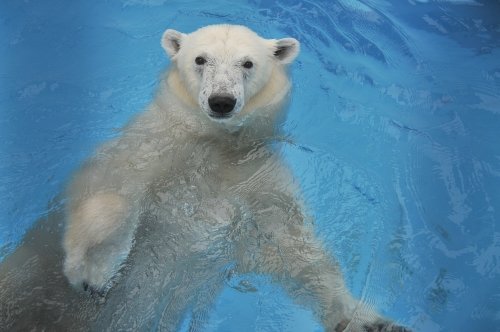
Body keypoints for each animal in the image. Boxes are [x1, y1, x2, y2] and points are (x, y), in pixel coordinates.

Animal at [56, 24, 410, 330]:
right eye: (200, 59)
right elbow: (109, 181)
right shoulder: (155, 143)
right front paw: (93, 269)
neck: (214, 142)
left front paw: (368, 322)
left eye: (247, 63)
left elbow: (290, 245)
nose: (222, 101)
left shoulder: (257, 175)